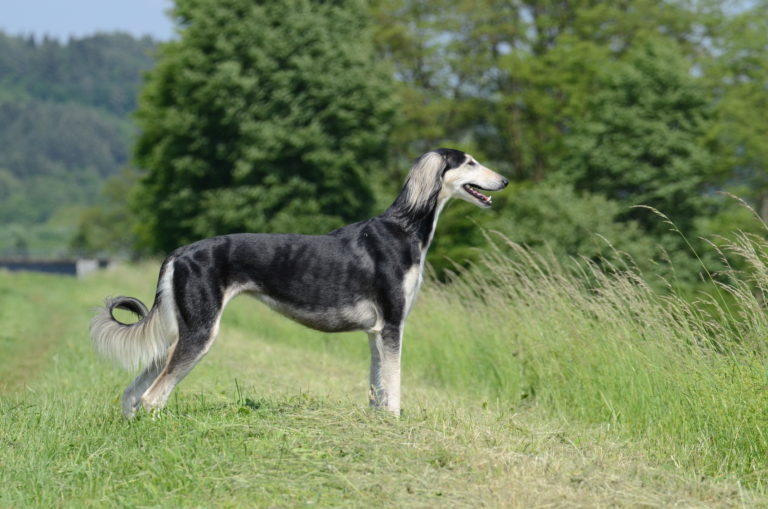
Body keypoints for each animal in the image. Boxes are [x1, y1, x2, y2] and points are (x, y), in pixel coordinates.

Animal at [90, 148, 508, 416]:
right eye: (470, 162)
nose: (504, 179)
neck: (403, 227)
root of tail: (180, 252)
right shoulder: (392, 324)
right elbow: (393, 386)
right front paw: (395, 423)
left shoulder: (376, 331)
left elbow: (377, 386)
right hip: (199, 332)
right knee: (152, 397)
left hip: (179, 332)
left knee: (133, 392)